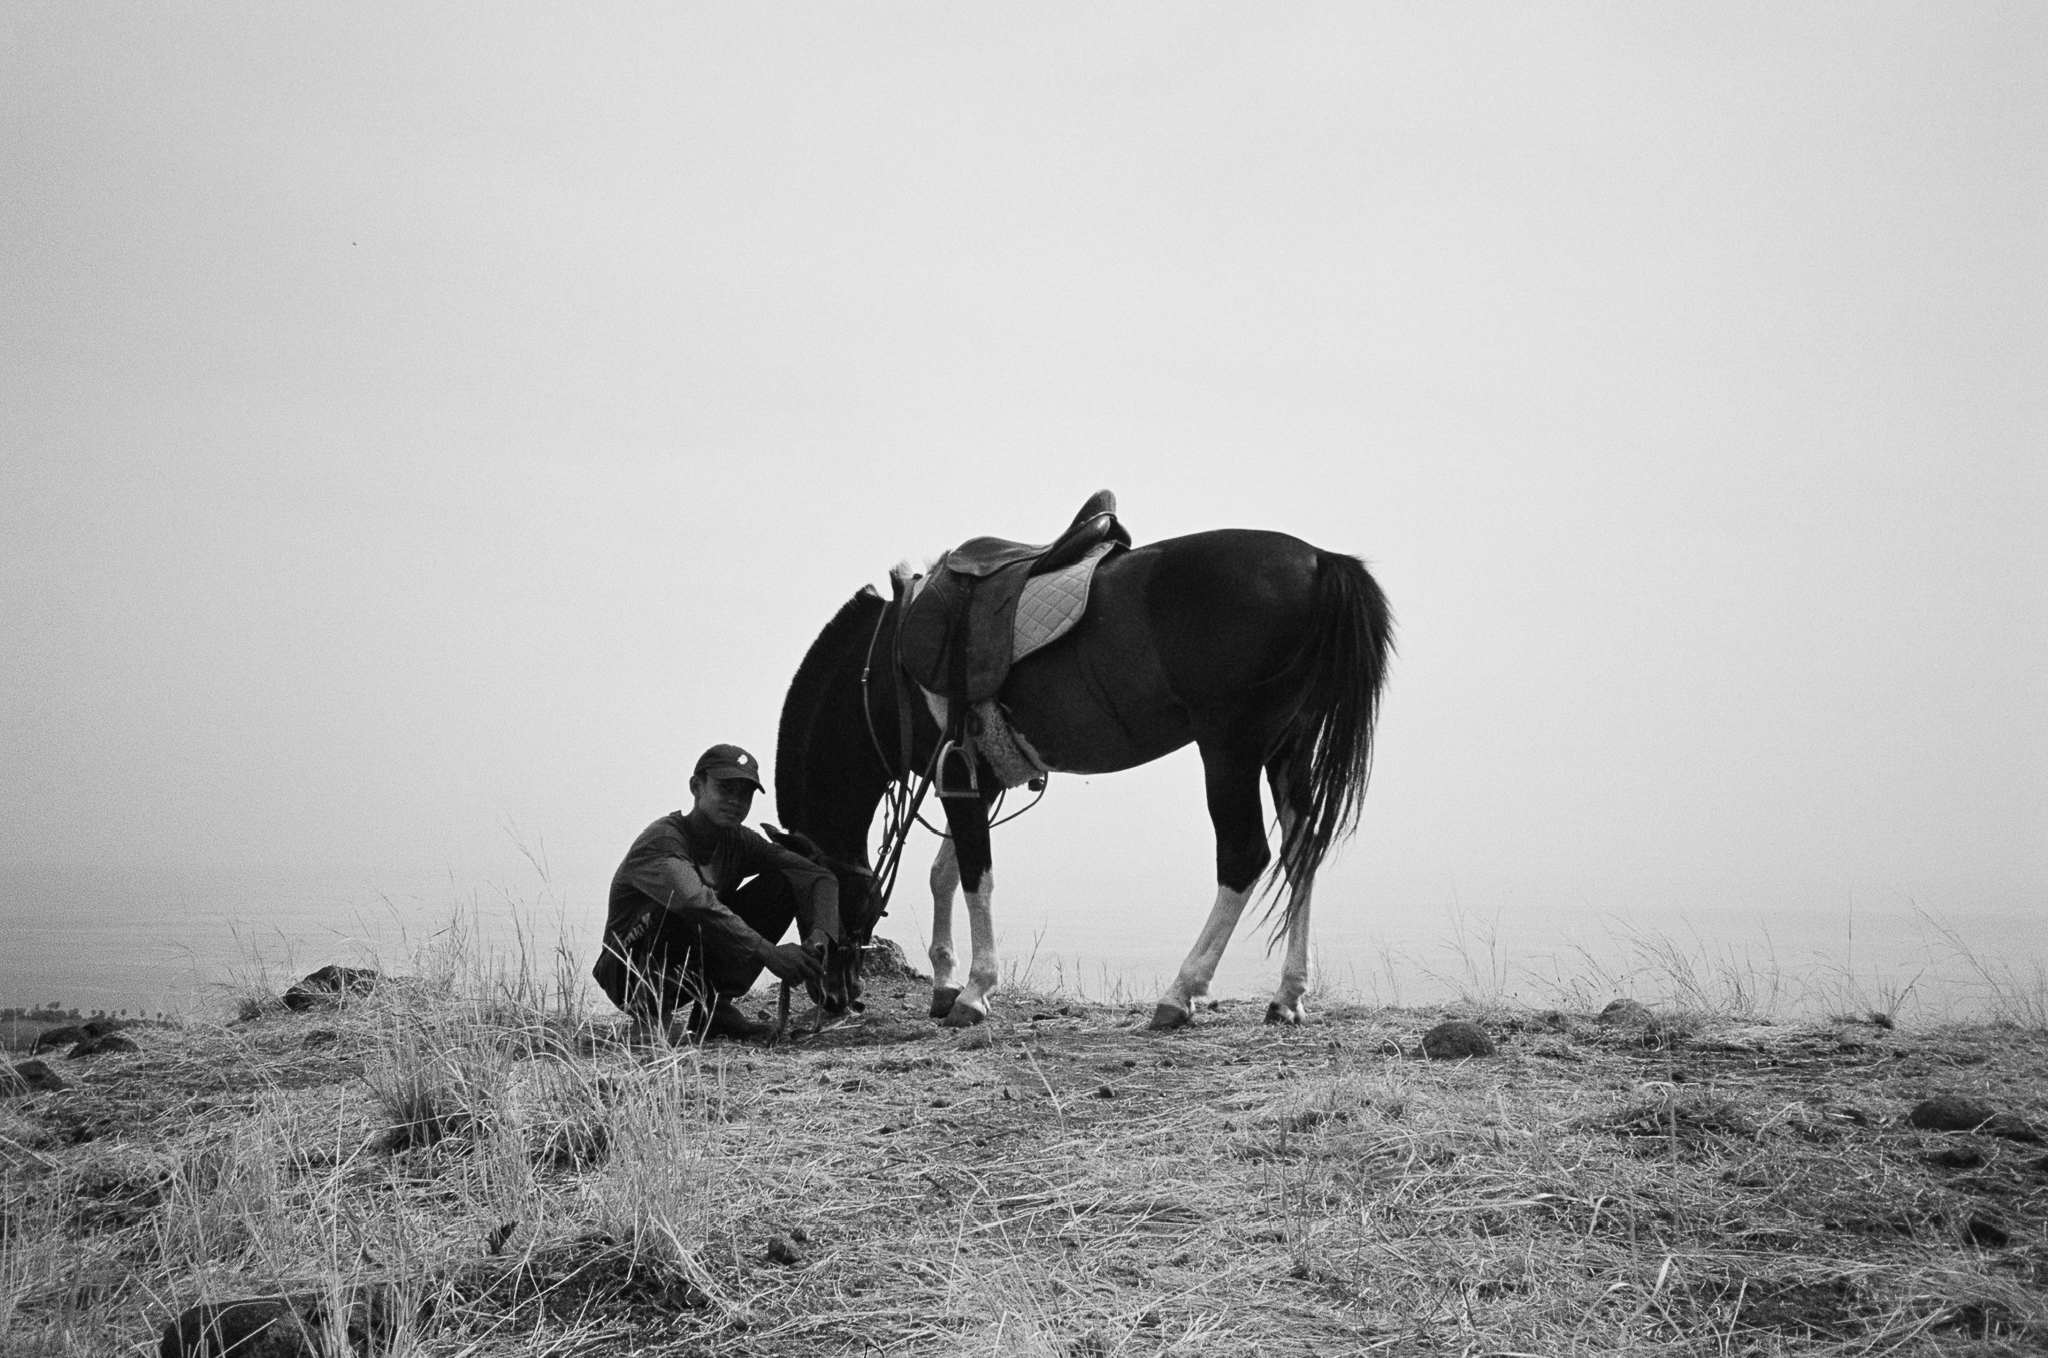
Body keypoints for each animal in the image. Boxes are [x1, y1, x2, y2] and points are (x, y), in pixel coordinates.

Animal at [773, 523, 1393, 1031]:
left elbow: (974, 877)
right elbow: (944, 874)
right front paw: (947, 985)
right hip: (1286, 748)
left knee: (1244, 859)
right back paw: (1287, 996)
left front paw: (974, 991)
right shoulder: (975, 778)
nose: (833, 996)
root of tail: (1318, 561)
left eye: (809, 898)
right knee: (1300, 852)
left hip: (1230, 750)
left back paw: (1180, 993)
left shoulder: (960, 776)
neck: (883, 670)